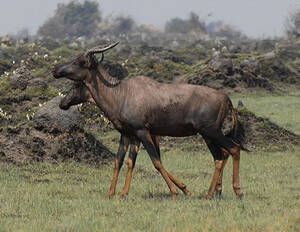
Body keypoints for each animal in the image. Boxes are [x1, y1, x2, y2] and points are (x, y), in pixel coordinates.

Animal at [52, 43, 247, 199]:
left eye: (80, 61)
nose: (55, 71)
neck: (122, 93)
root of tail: (226, 98)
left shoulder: (142, 132)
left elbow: (156, 161)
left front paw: (176, 192)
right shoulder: (128, 134)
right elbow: (122, 161)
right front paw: (115, 193)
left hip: (210, 132)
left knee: (233, 149)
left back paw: (235, 192)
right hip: (208, 135)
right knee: (220, 156)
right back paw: (213, 193)